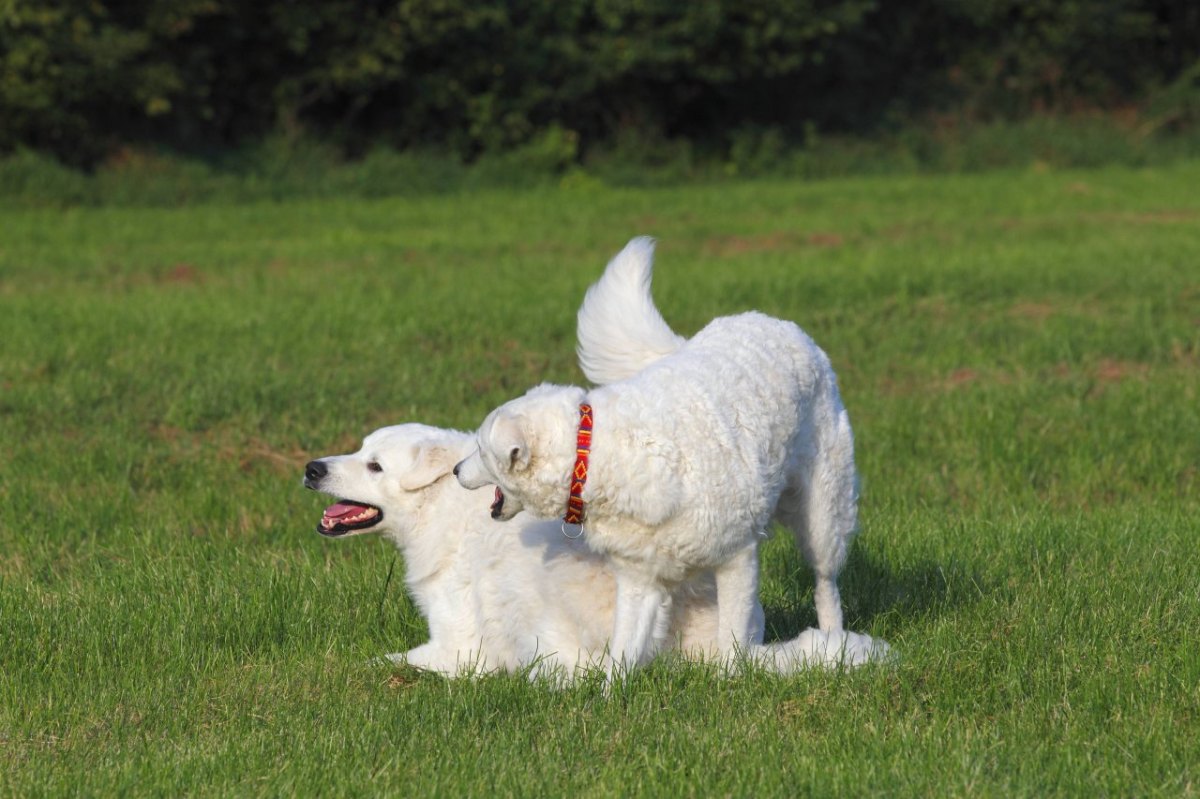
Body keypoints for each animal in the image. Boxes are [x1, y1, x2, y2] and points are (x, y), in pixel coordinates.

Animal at [453, 236, 868, 671]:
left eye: (480, 448)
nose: (455, 470)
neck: (595, 451)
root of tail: (778, 323)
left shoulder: (737, 559)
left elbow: (731, 642)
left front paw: (732, 677)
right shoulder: (641, 580)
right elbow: (622, 654)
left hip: (824, 516)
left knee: (825, 582)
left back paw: (835, 640)